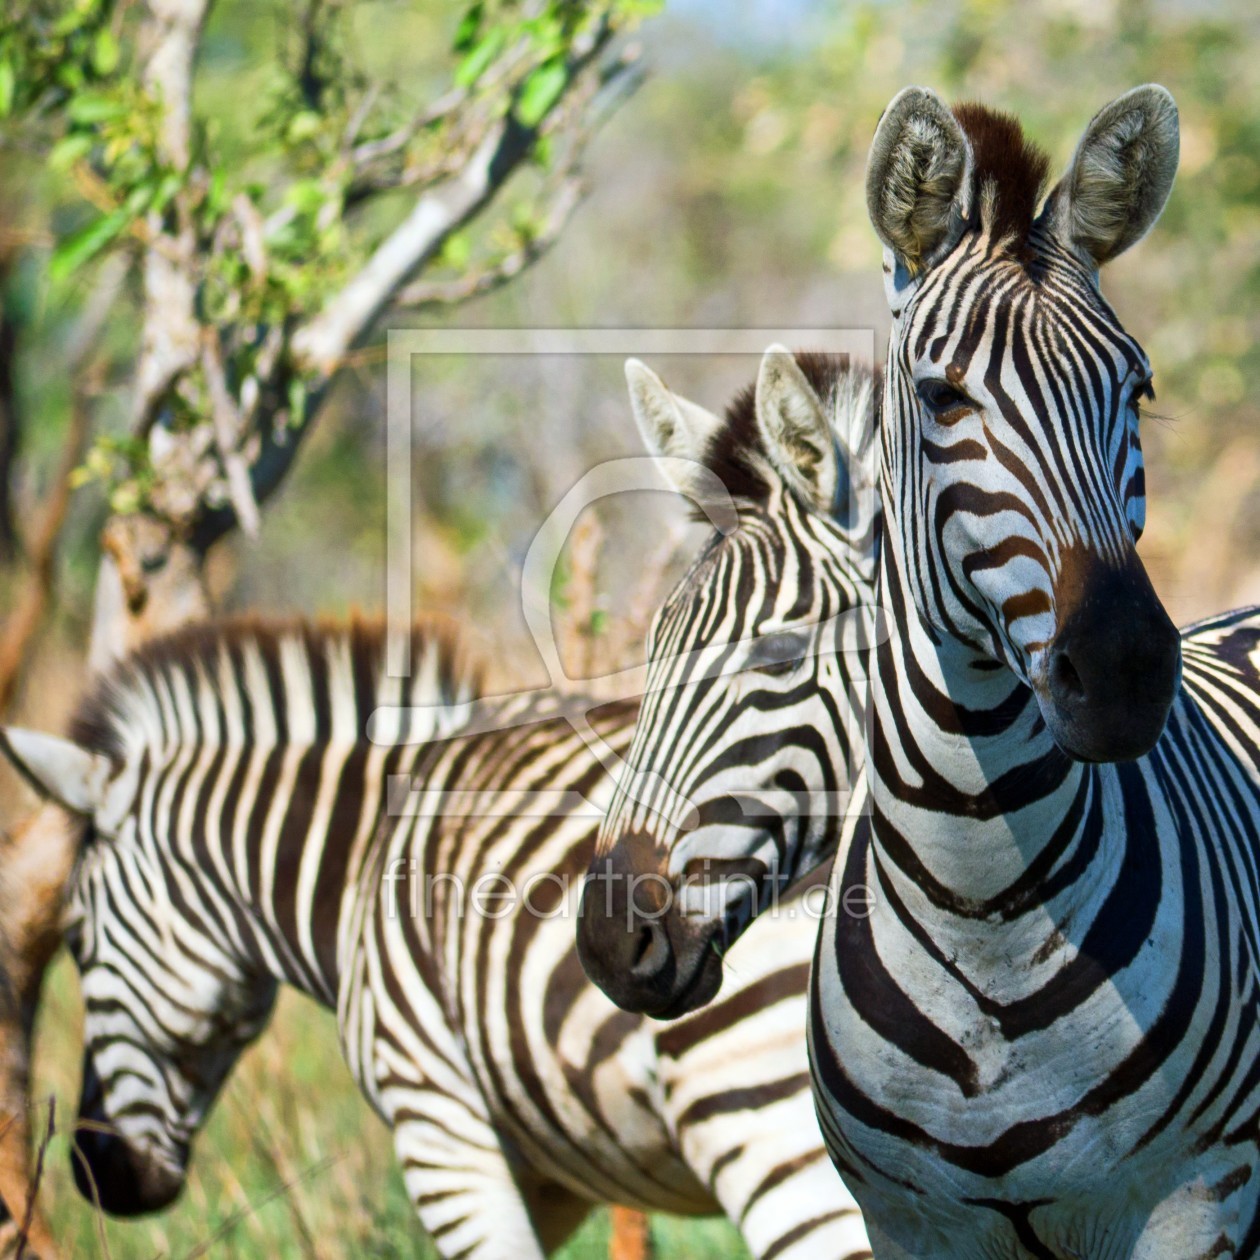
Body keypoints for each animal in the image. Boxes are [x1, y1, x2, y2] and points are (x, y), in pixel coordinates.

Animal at [0, 362, 882, 1260]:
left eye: (77, 939)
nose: (98, 1176)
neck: (357, 858)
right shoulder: (550, 1180)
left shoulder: (436, 1123)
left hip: (755, 1124)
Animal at [582, 88, 1260, 1260]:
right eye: (940, 400)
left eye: (1137, 392)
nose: (611, 934)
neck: (982, 906)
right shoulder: (908, 1224)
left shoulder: (1198, 1198)